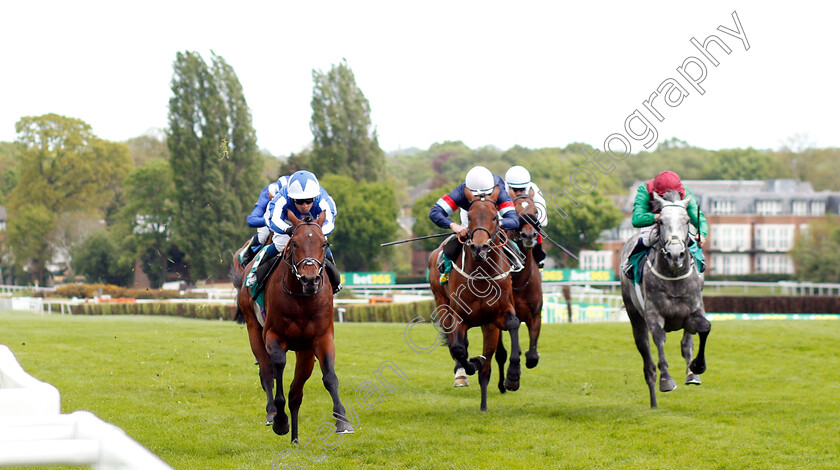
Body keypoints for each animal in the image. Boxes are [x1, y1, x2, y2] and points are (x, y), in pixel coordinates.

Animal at [264, 209, 352, 440]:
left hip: (305, 354)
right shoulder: (272, 335)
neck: (302, 299)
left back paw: (295, 439)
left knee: (296, 392)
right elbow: (278, 363)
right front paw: (280, 421)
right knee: (274, 377)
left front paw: (342, 419)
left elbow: (330, 376)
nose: (310, 279)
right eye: (294, 243)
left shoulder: (322, 337)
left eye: (324, 243)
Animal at [430, 185, 520, 412]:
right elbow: (458, 348)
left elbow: (513, 324)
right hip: (442, 304)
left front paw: (513, 377)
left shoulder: (496, 318)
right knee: (457, 344)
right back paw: (462, 374)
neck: (481, 276)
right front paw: (472, 364)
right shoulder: (459, 317)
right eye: (469, 217)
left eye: (495, 217)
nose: (480, 248)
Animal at [496, 189, 548, 394]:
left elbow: (532, 355)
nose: (528, 235)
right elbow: (503, 352)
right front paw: (510, 379)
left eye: (535, 211)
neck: (519, 281)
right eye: (516, 210)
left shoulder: (535, 315)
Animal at [620, 190, 712, 408]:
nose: (675, 254)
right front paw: (666, 380)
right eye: (660, 221)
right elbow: (659, 339)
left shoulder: (694, 310)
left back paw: (691, 373)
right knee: (647, 362)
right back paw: (653, 402)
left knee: (687, 342)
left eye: (687, 220)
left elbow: (704, 328)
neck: (673, 277)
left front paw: (697, 366)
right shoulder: (653, 315)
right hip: (634, 316)